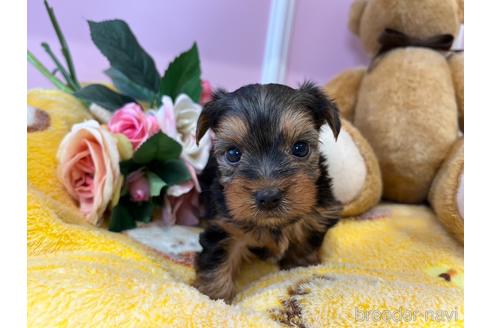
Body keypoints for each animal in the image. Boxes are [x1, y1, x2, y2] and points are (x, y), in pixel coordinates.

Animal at [194, 82, 340, 302]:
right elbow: (217, 262)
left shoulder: (315, 217)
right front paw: (214, 297)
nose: (268, 197)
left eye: (300, 148)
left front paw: (300, 267)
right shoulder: (225, 226)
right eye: (233, 153)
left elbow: (304, 246)